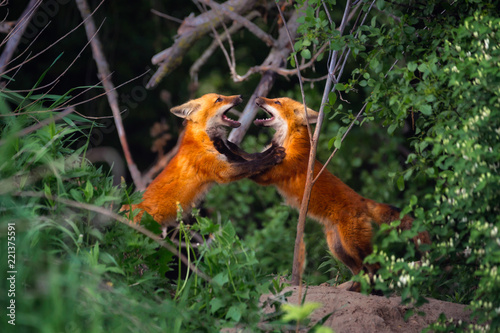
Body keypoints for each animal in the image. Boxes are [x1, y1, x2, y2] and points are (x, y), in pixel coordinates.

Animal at [124, 93, 286, 228]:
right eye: (219, 99)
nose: (240, 96)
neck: (206, 138)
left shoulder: (230, 152)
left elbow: (253, 156)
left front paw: (272, 150)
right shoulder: (222, 171)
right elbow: (253, 164)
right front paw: (273, 156)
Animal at [215, 96, 430, 290]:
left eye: (276, 101)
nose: (257, 99)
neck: (288, 140)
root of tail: (363, 200)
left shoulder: (270, 175)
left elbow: (246, 162)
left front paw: (223, 146)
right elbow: (248, 157)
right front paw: (227, 144)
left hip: (353, 244)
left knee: (375, 267)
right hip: (338, 248)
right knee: (360, 270)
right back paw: (351, 289)